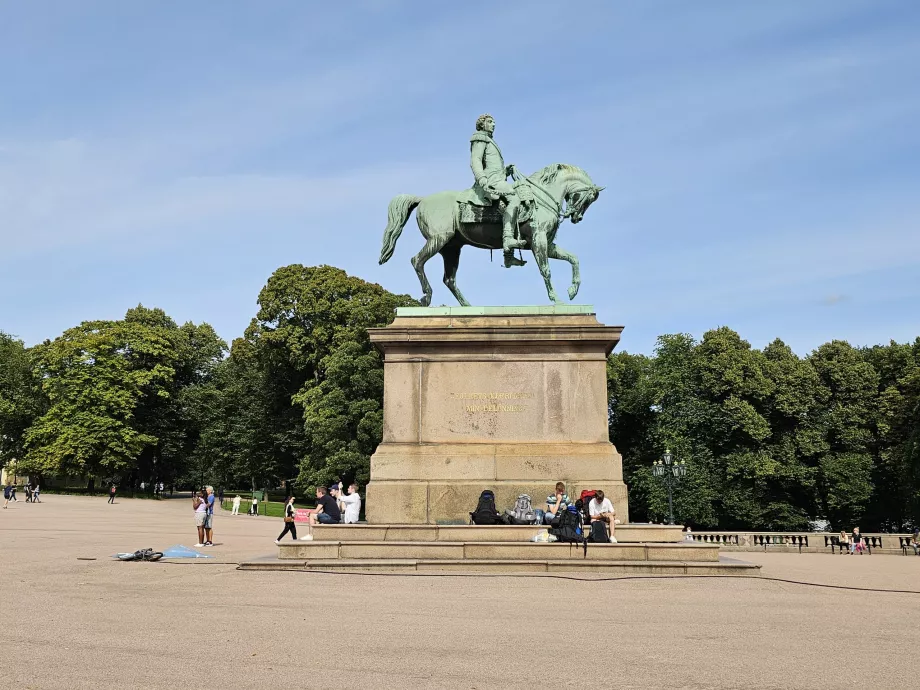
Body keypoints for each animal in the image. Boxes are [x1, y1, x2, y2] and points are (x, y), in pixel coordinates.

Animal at [378, 164, 600, 304]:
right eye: (589, 199)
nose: (577, 217)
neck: (540, 197)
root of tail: (422, 199)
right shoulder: (539, 241)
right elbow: (546, 270)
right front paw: (557, 300)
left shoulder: (547, 244)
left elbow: (573, 258)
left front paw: (573, 291)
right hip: (439, 239)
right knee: (417, 261)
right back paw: (427, 295)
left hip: (451, 248)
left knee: (449, 279)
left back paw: (467, 307)